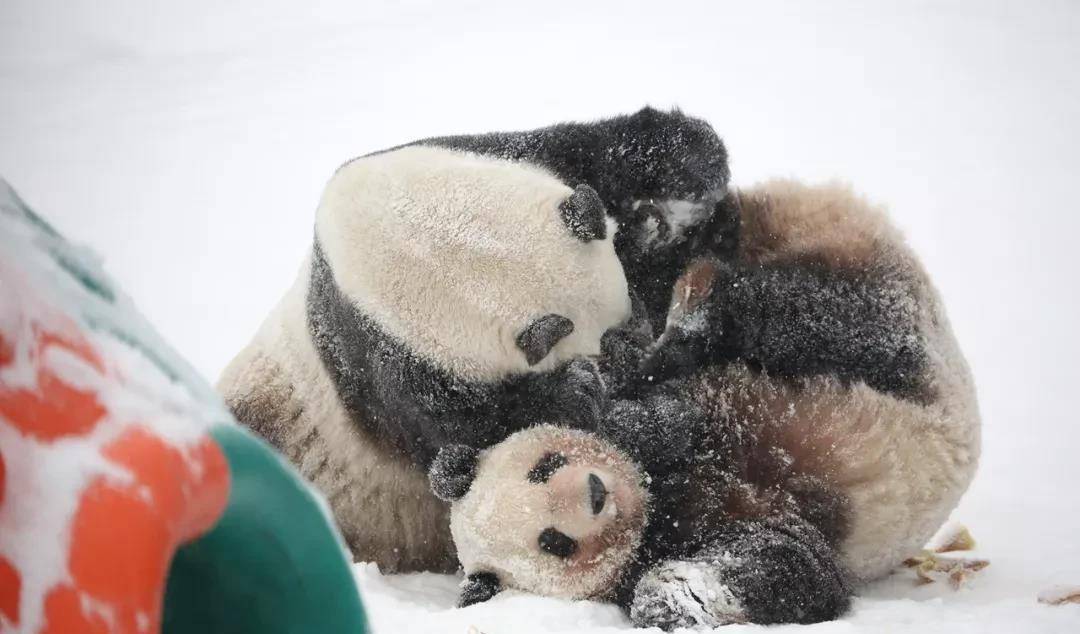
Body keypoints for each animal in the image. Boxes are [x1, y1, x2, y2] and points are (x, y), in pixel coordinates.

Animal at [214, 106, 730, 574]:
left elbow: (600, 151)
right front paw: (594, 398)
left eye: (632, 308)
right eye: (609, 338)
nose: (641, 348)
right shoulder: (385, 369)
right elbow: (492, 429)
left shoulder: (474, 155)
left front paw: (682, 176)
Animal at [427, 178, 980, 630]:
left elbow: (656, 413)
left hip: (886, 318)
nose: (596, 492)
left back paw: (693, 302)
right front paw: (665, 599)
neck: (654, 495)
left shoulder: (688, 415)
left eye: (545, 466)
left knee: (816, 316)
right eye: (553, 541)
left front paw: (595, 389)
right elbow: (790, 564)